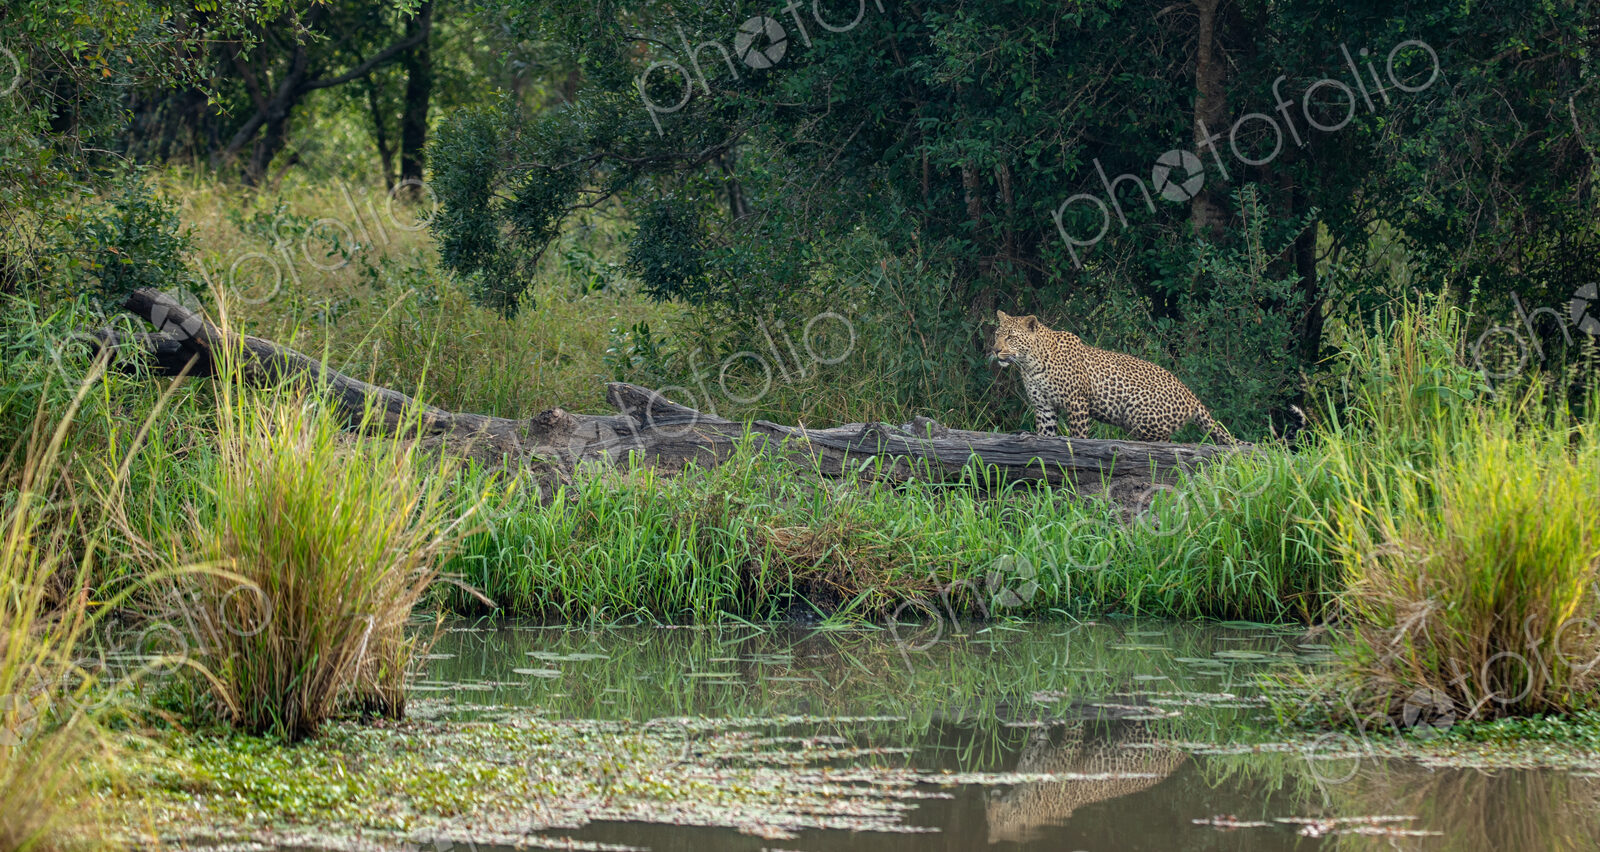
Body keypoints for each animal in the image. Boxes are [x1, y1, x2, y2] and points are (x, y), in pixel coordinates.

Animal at [987, 310, 1298, 445]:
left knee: (1163, 442)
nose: (996, 350)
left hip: (1138, 416)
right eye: (997, 334)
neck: (1029, 363)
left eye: (1011, 337)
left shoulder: (1077, 402)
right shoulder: (1044, 408)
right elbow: (1046, 434)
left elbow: (1078, 435)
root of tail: (1192, 395)